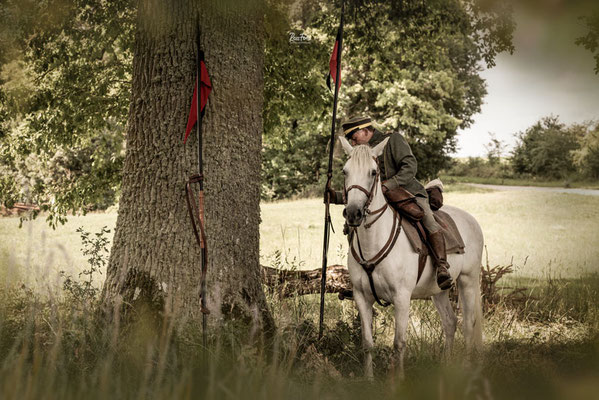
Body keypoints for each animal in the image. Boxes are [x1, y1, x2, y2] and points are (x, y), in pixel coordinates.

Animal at [340, 137, 486, 378]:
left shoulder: (402, 298)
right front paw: (369, 379)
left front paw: (398, 380)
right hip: (439, 291)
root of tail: (471, 219)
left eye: (373, 172)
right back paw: (446, 367)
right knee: (450, 322)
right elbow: (367, 343)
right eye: (344, 171)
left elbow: (399, 343)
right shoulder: (362, 297)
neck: (374, 240)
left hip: (468, 281)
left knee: (468, 324)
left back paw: (465, 368)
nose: (353, 213)